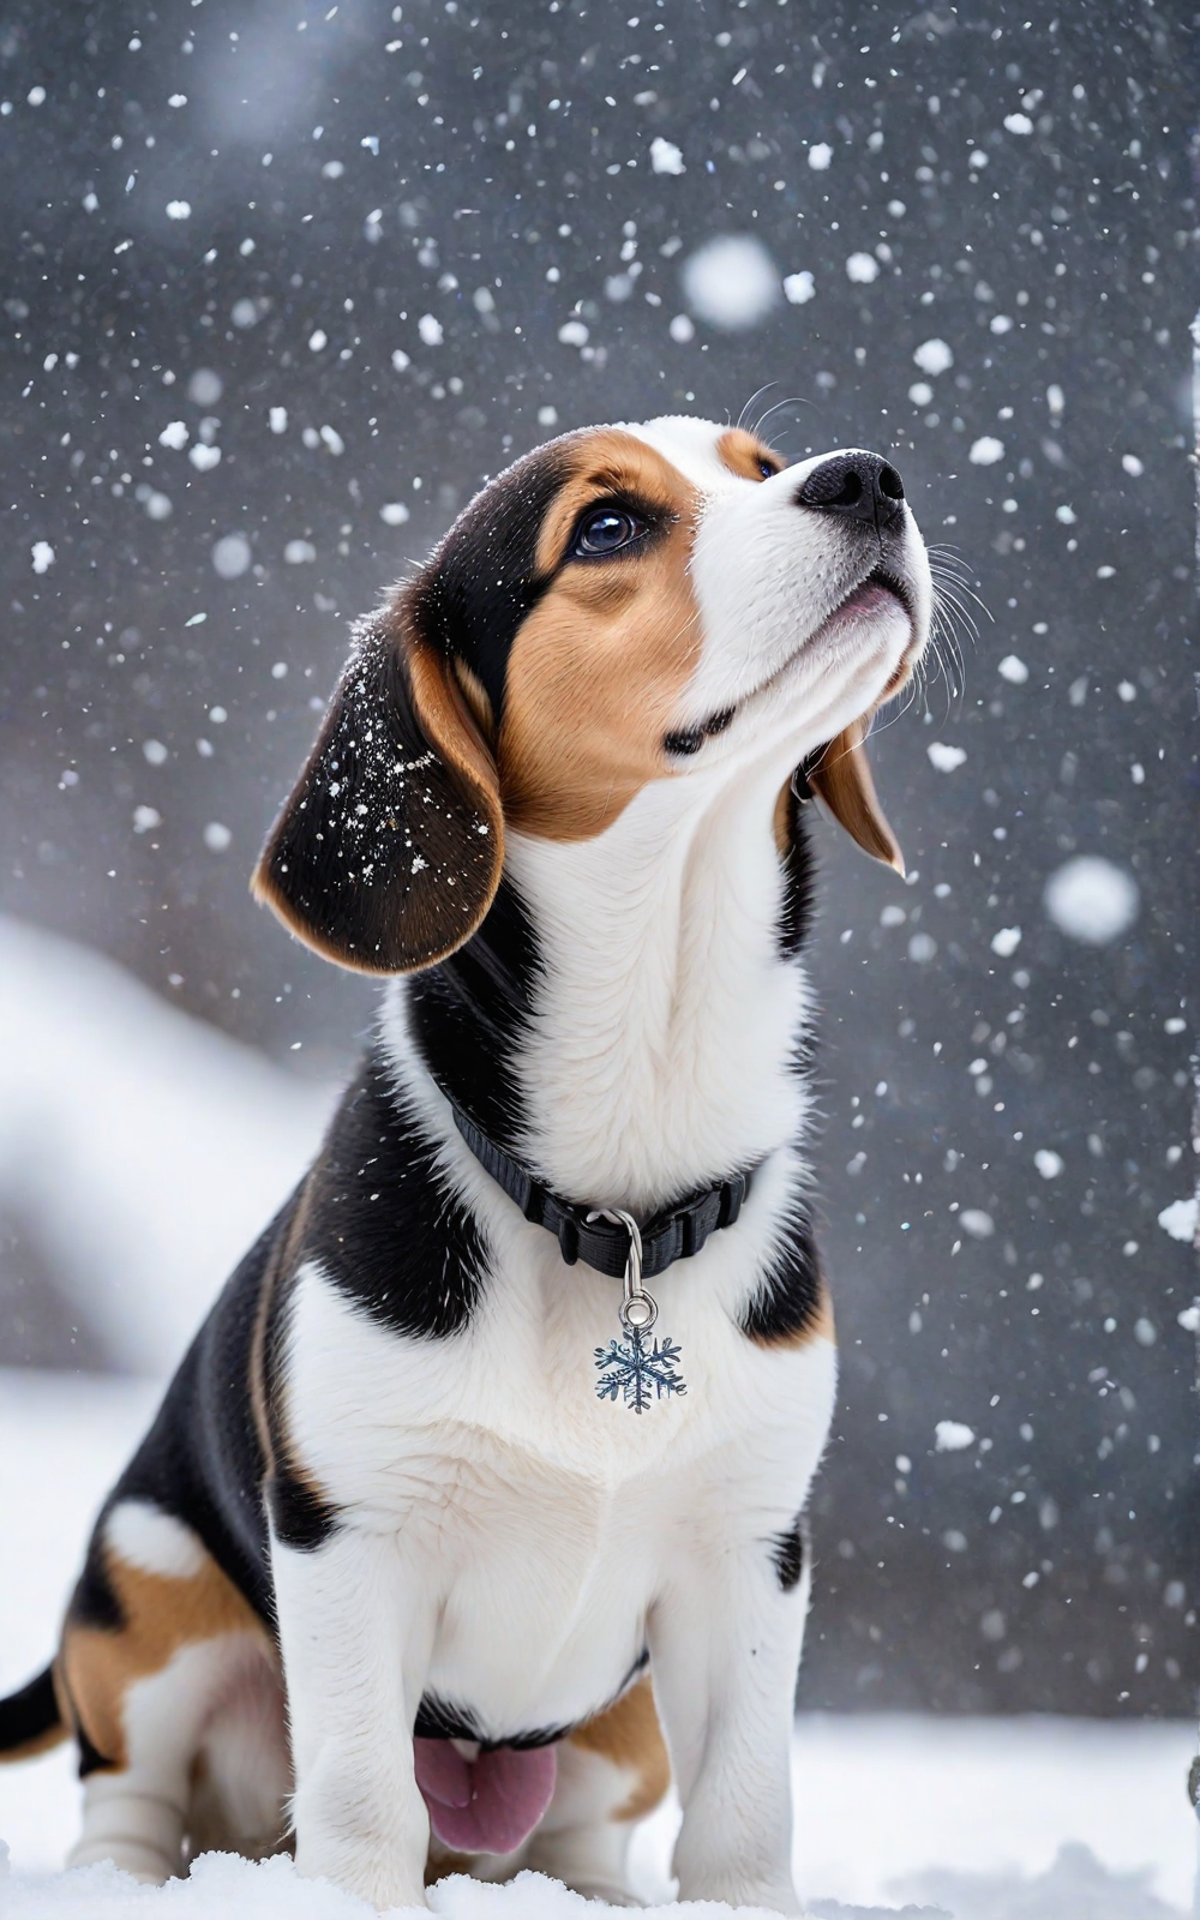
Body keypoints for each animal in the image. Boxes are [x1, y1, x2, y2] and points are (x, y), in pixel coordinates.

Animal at [0, 416, 933, 1904]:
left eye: (761, 460)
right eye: (606, 526)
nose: (867, 477)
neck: (616, 1197)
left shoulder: (748, 1547)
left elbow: (744, 1811)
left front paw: (742, 1908)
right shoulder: (348, 1534)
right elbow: (362, 1794)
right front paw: (354, 1903)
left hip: (618, 1724)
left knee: (583, 1826)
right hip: (150, 1587)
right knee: (128, 1795)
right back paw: (122, 1888)